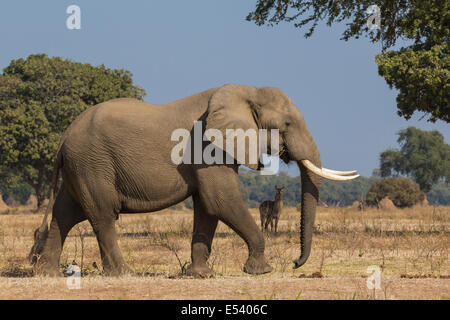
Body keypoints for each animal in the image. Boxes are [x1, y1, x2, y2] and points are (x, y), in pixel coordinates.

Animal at [29, 84, 358, 276]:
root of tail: (63, 138)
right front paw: (261, 271)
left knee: (65, 214)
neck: (245, 91)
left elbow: (207, 207)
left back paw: (48, 274)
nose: (295, 263)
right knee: (102, 215)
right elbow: (220, 200)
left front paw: (200, 274)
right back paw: (123, 274)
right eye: (287, 124)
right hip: (92, 164)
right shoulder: (206, 145)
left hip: (81, 167)